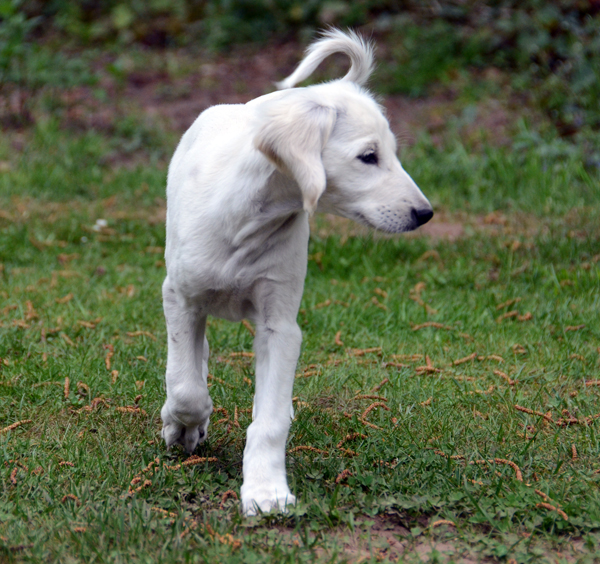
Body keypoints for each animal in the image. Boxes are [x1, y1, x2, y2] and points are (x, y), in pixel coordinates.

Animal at [159, 30, 432, 516]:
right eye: (368, 156)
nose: (425, 214)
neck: (248, 220)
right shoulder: (180, 297)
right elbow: (186, 387)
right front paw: (183, 426)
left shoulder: (280, 325)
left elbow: (268, 420)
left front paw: (266, 489)